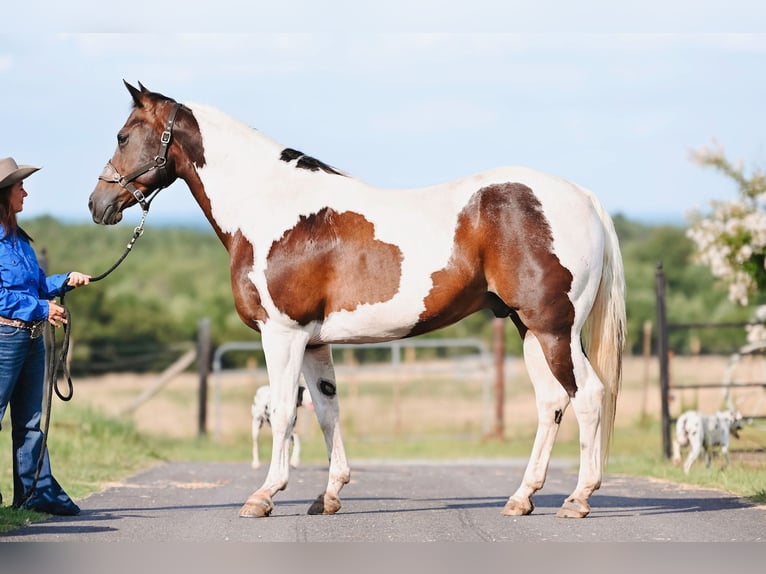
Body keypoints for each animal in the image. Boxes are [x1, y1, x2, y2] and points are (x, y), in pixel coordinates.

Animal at [91, 82, 632, 520]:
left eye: (122, 136)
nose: (97, 204)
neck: (270, 206)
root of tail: (582, 197)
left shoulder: (282, 334)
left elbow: (284, 414)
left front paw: (264, 496)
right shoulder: (313, 342)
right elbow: (327, 411)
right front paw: (328, 496)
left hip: (554, 329)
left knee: (588, 396)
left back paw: (578, 499)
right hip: (530, 329)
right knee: (552, 402)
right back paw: (522, 498)